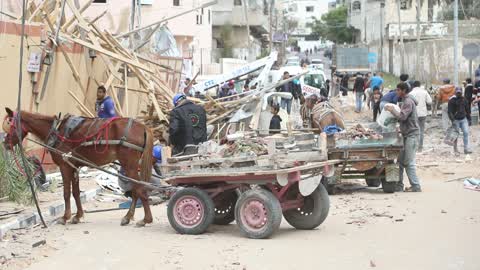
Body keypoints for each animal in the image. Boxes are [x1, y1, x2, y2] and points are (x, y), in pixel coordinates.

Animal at [2, 108, 153, 227]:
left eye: (10, 125)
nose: (5, 143)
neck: (56, 131)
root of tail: (142, 127)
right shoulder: (73, 166)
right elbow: (75, 192)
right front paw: (78, 216)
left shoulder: (64, 166)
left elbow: (66, 193)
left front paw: (65, 217)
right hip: (130, 166)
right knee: (136, 191)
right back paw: (128, 217)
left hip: (129, 165)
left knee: (140, 190)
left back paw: (145, 219)